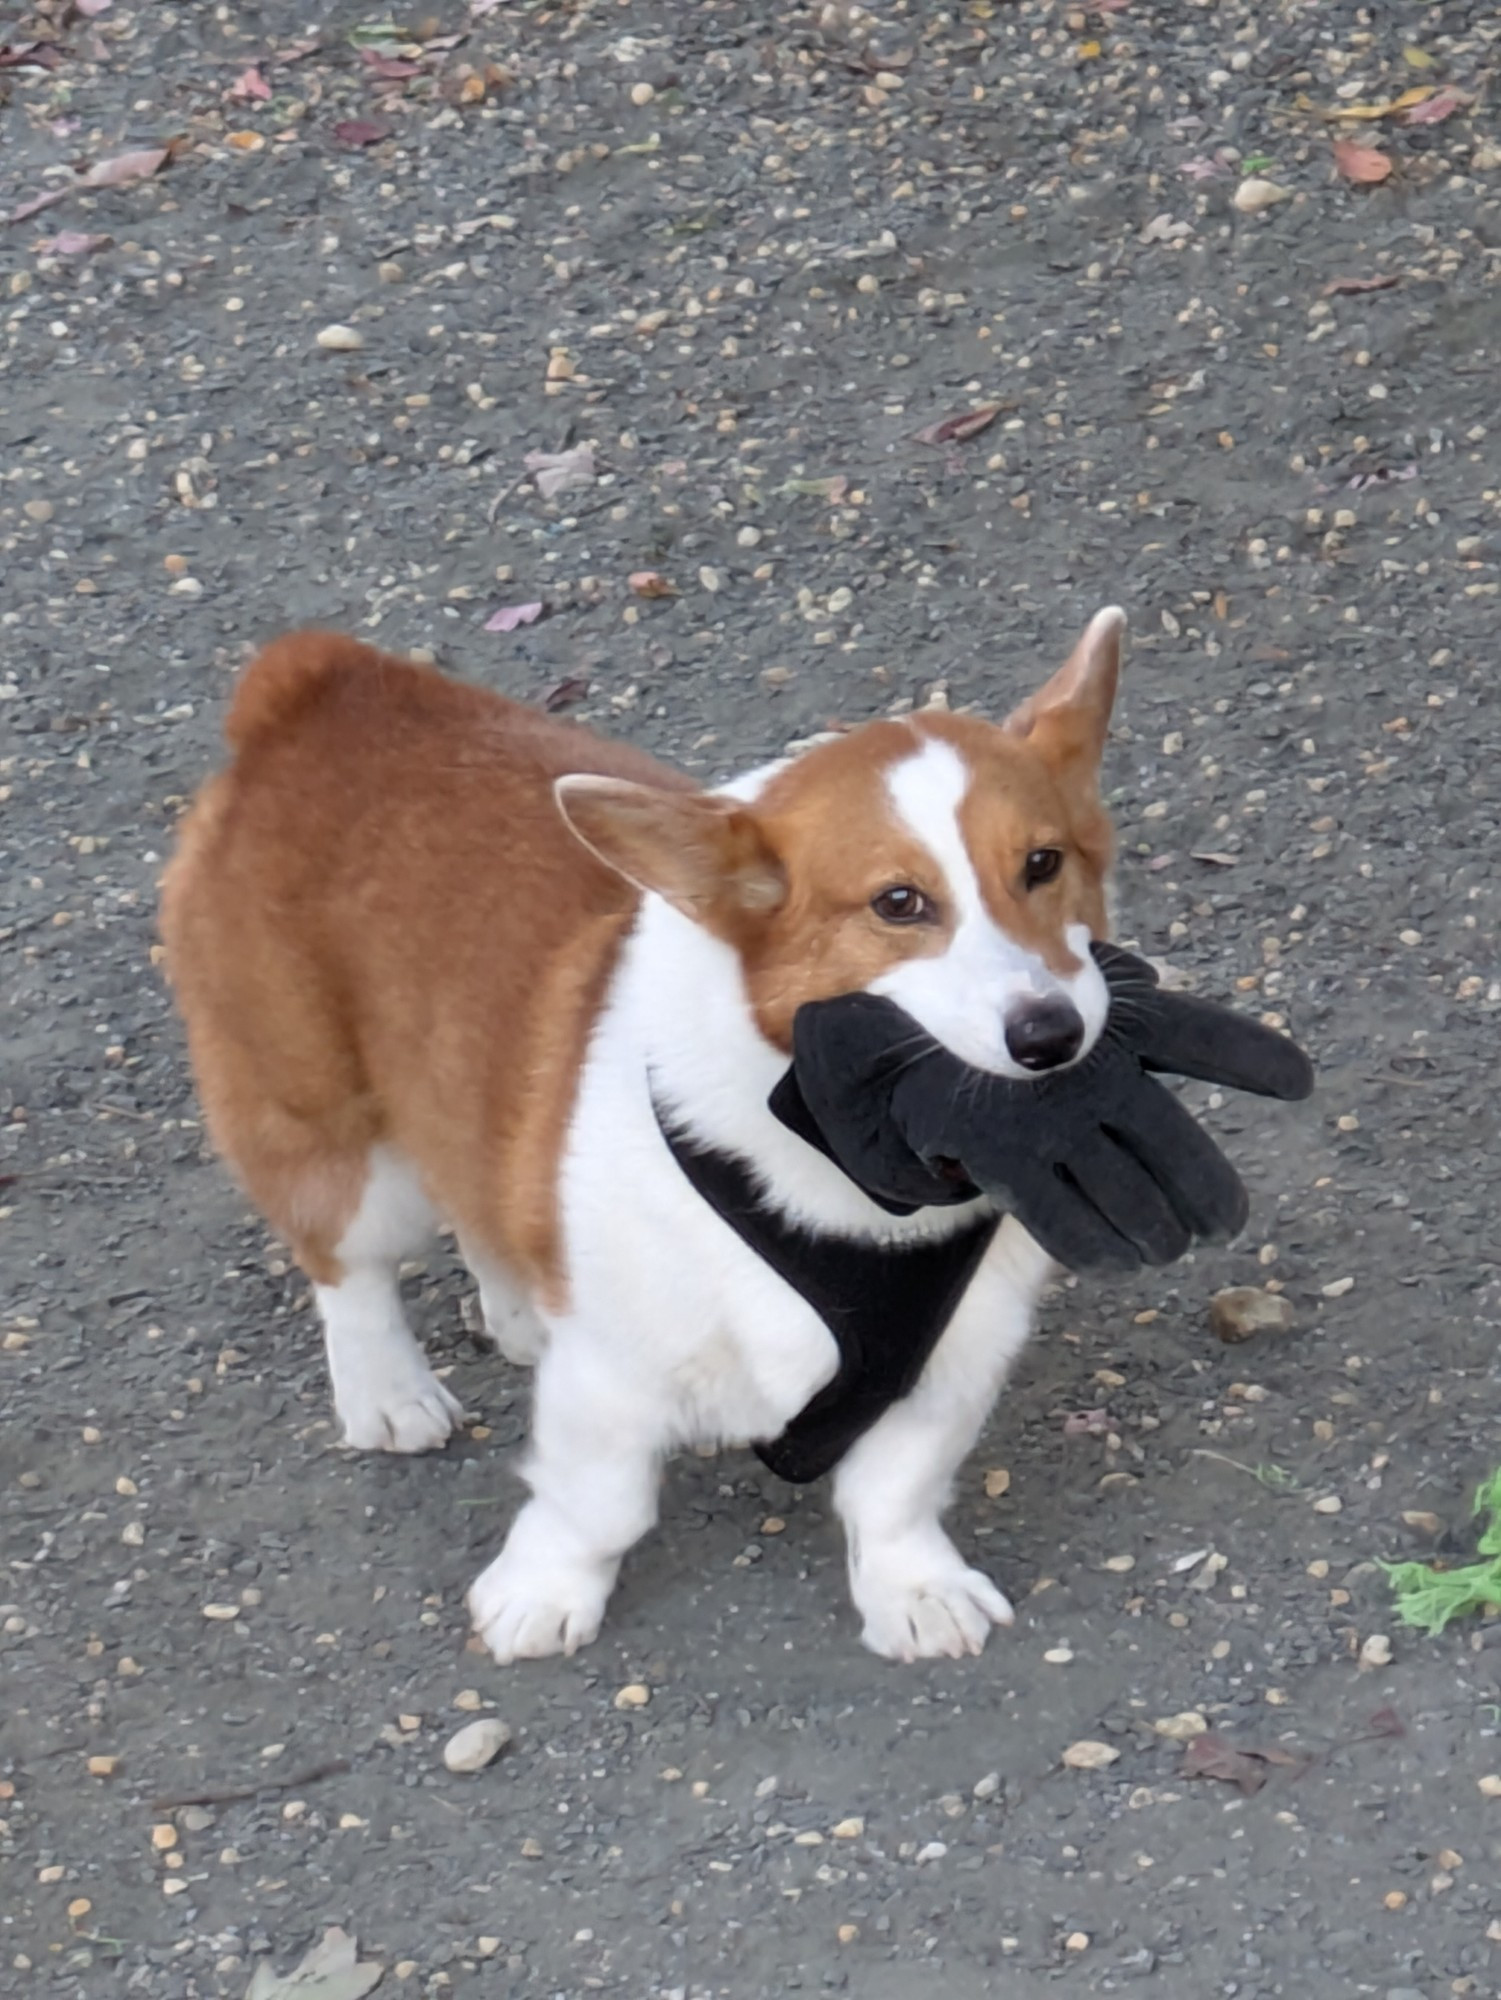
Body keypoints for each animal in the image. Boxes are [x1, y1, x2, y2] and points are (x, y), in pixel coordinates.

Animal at [162, 604, 1128, 1656]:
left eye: (1042, 865)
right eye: (898, 903)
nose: (1050, 1036)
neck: (844, 1176)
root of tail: (316, 685)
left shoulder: (948, 1366)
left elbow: (894, 1494)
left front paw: (915, 1594)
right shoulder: (613, 1375)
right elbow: (599, 1503)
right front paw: (541, 1596)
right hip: (337, 1136)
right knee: (350, 1268)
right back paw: (389, 1395)